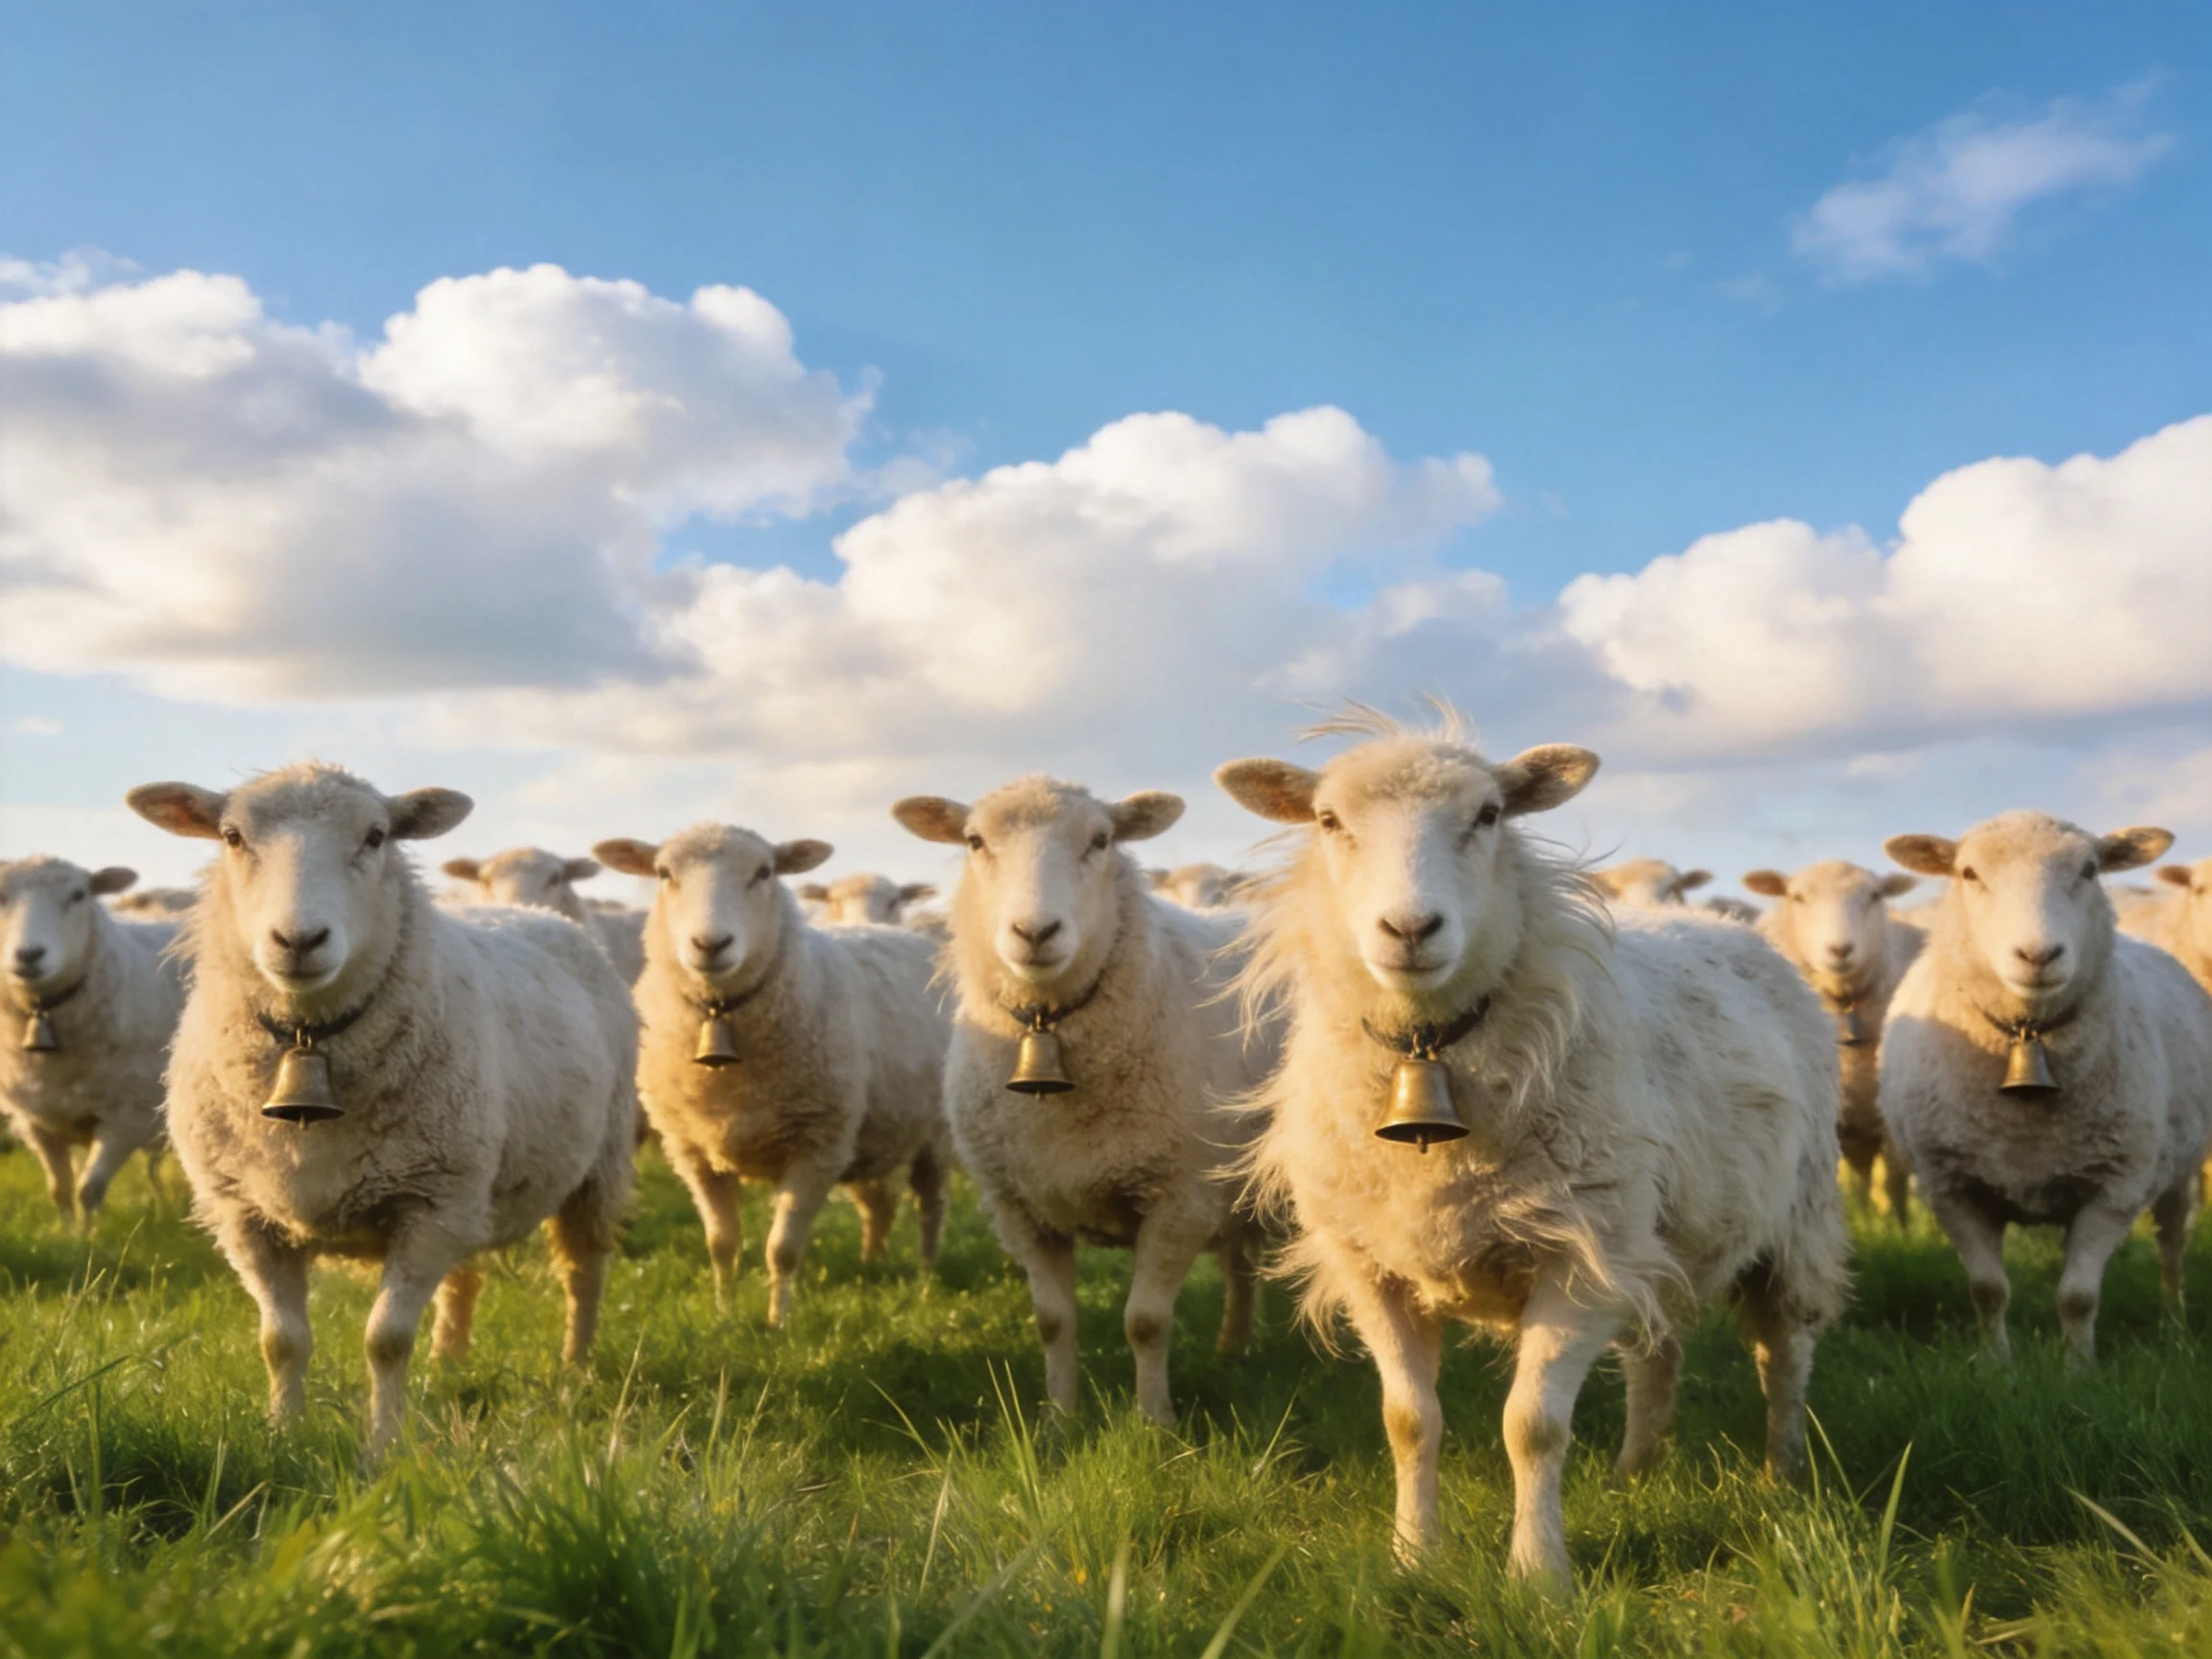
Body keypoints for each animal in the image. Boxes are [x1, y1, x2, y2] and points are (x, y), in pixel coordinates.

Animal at [1, 857, 184, 1222]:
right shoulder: (37, 1121)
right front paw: (67, 1232)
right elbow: (60, 1191)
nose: (28, 954)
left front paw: (91, 1234)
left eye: (78, 895)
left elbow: (89, 1191)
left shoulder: (126, 1116)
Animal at [892, 777, 1281, 1425]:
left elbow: (1145, 1324)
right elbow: (1054, 1323)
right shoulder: (1020, 1207)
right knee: (1241, 1263)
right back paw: (1233, 1350)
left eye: (1101, 840)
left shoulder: (1179, 1198)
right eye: (975, 841)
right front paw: (1060, 1420)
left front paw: (1155, 1424)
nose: (1035, 933)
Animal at [1215, 710, 1848, 1584]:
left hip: (1793, 1218)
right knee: (1656, 1353)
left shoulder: (1579, 1260)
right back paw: (1634, 1473)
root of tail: (1726, 926)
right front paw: (1415, 1557)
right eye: (1329, 821)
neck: (1430, 1052)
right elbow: (1408, 1420)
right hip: (1650, 1234)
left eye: (1488, 816)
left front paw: (1539, 1575)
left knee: (1783, 1352)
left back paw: (1781, 1475)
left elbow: (1532, 1428)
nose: (1410, 930)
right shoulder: (1370, 1266)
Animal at [1742, 861, 1925, 1221]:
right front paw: (1865, 1221)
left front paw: (1895, 1225)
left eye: (1875, 895)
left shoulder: (1888, 1118)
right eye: (1797, 897)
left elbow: (1891, 1180)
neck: (1844, 1004)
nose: (1840, 949)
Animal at [1880, 813, 2212, 1364]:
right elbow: (1989, 1290)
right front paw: (1997, 1365)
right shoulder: (1951, 1187)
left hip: (2175, 1169)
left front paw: (2078, 1368)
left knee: (2171, 1248)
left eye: (2090, 870)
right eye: (1968, 873)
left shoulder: (2115, 1187)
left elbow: (2078, 1297)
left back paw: (2175, 1325)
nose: (2038, 955)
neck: (2026, 1035)